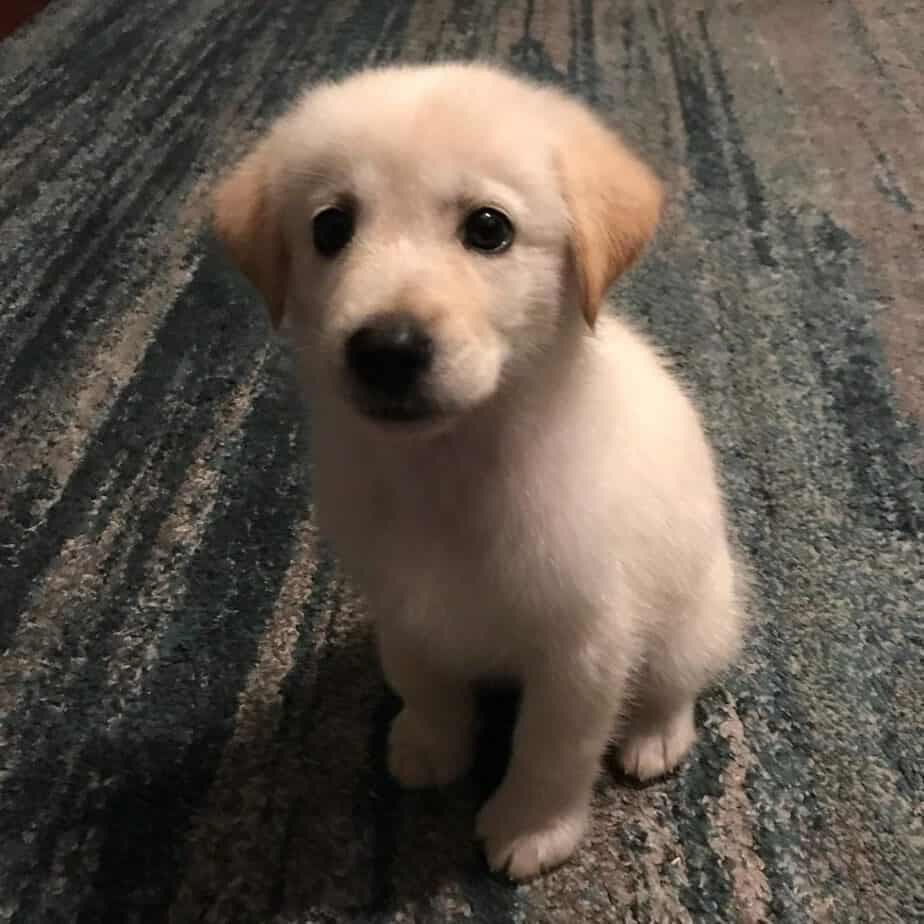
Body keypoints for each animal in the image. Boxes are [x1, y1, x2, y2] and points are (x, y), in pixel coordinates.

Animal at [211, 63, 744, 880]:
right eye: (330, 228)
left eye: (488, 228)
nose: (387, 349)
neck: (452, 467)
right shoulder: (401, 605)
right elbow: (423, 681)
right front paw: (430, 743)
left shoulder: (583, 645)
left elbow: (552, 750)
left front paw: (533, 828)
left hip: (697, 613)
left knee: (675, 680)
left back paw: (655, 734)